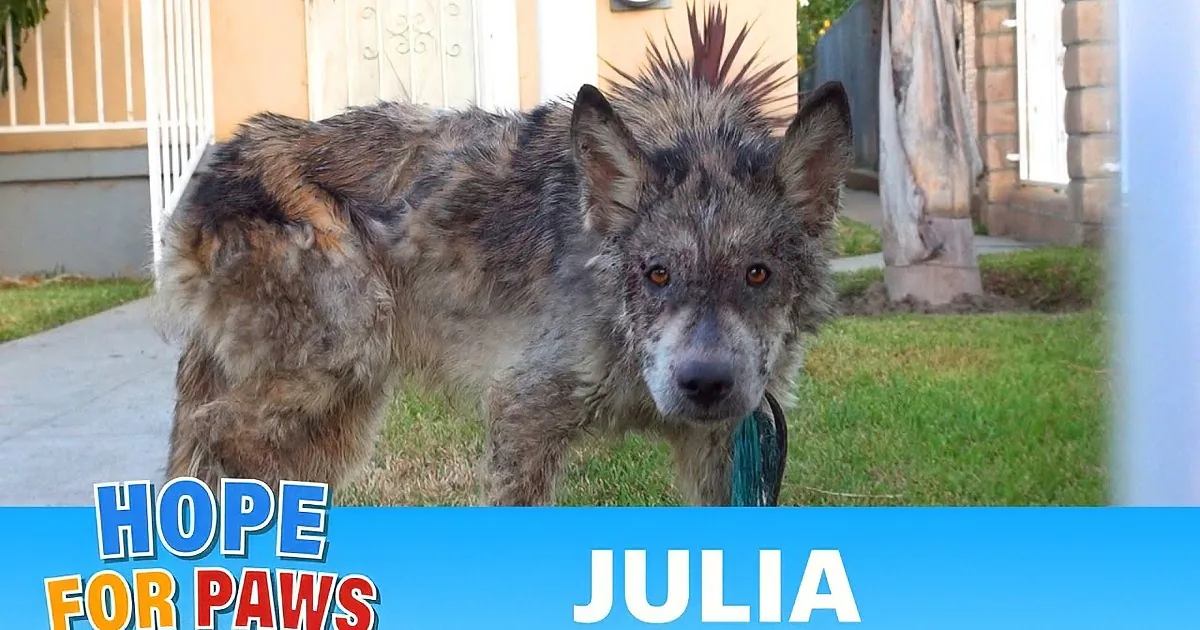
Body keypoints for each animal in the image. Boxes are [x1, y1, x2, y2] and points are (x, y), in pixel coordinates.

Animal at [152, 4, 853, 506]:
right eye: (657, 274)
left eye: (757, 274)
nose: (705, 383)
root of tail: (220, 163)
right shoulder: (523, 416)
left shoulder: (725, 449)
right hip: (326, 376)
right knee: (212, 441)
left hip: (336, 424)